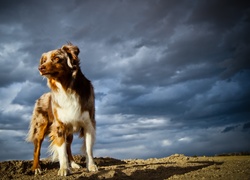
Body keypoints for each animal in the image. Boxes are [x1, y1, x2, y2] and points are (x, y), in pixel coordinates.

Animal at [26, 43, 97, 176]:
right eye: (44, 60)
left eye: (56, 58)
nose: (40, 68)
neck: (66, 87)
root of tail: (40, 97)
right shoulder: (59, 126)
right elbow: (62, 151)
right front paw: (63, 169)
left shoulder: (88, 124)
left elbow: (88, 148)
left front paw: (91, 166)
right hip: (40, 127)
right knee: (37, 148)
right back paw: (36, 167)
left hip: (69, 132)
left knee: (68, 146)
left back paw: (73, 164)